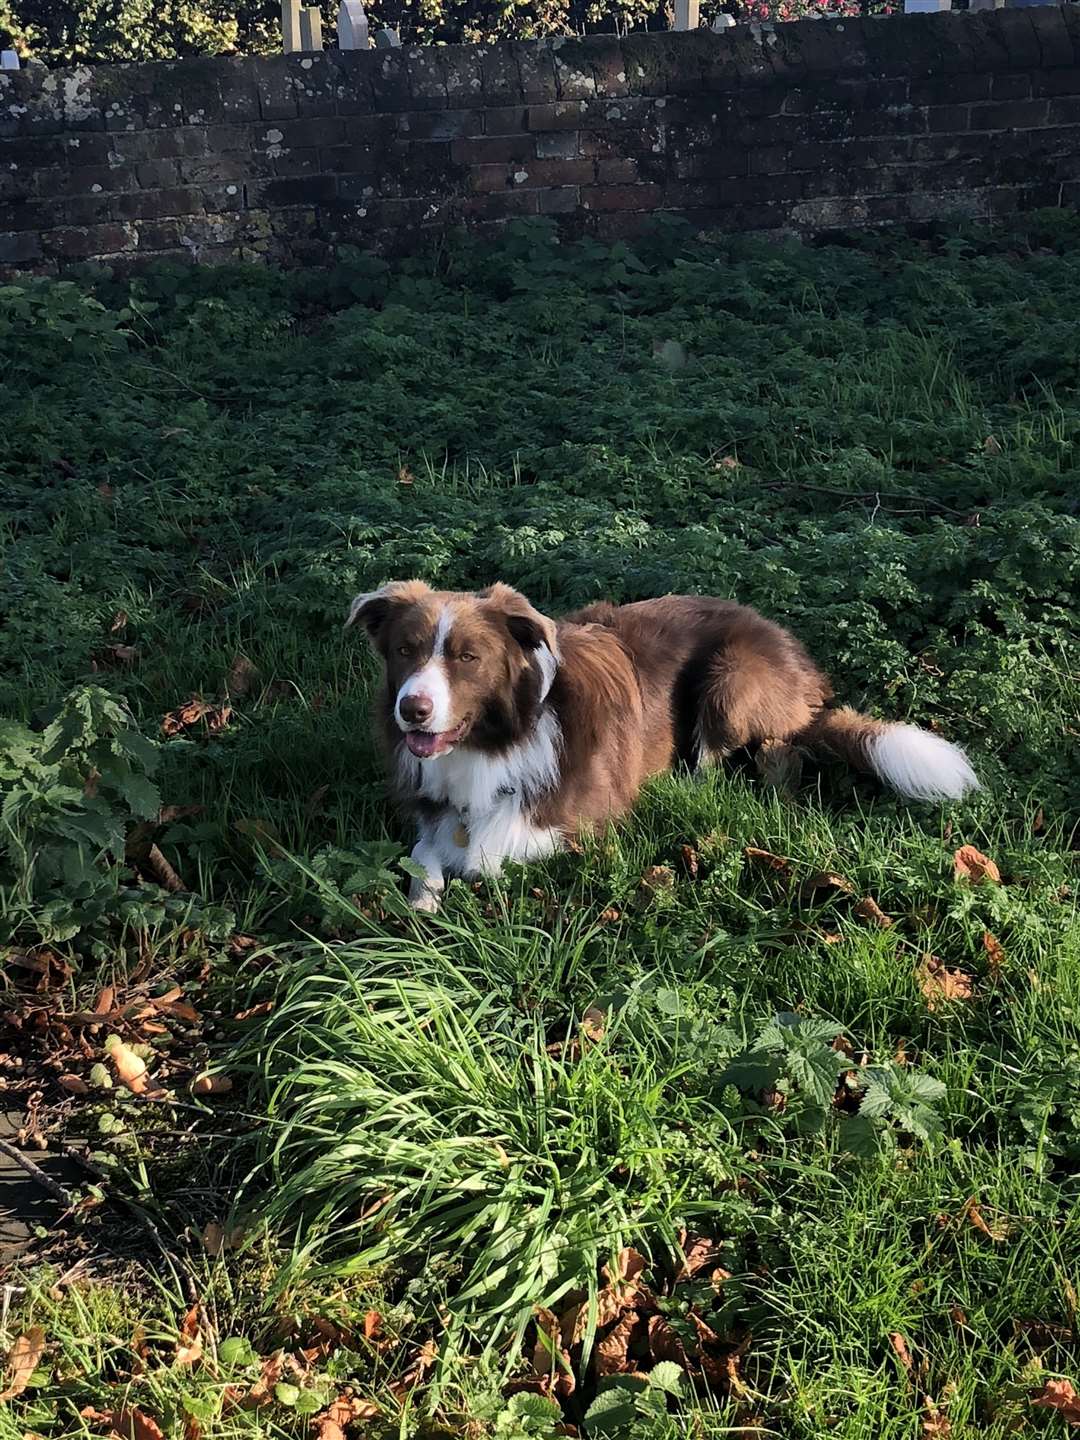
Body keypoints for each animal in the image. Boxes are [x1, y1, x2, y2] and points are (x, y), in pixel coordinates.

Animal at [347, 576, 979, 904]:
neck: (494, 743)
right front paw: (425, 894)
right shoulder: (434, 812)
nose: (412, 711)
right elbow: (422, 854)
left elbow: (493, 855)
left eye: (468, 658)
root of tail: (805, 671)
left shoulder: (584, 822)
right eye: (404, 650)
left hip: (731, 682)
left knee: (775, 755)